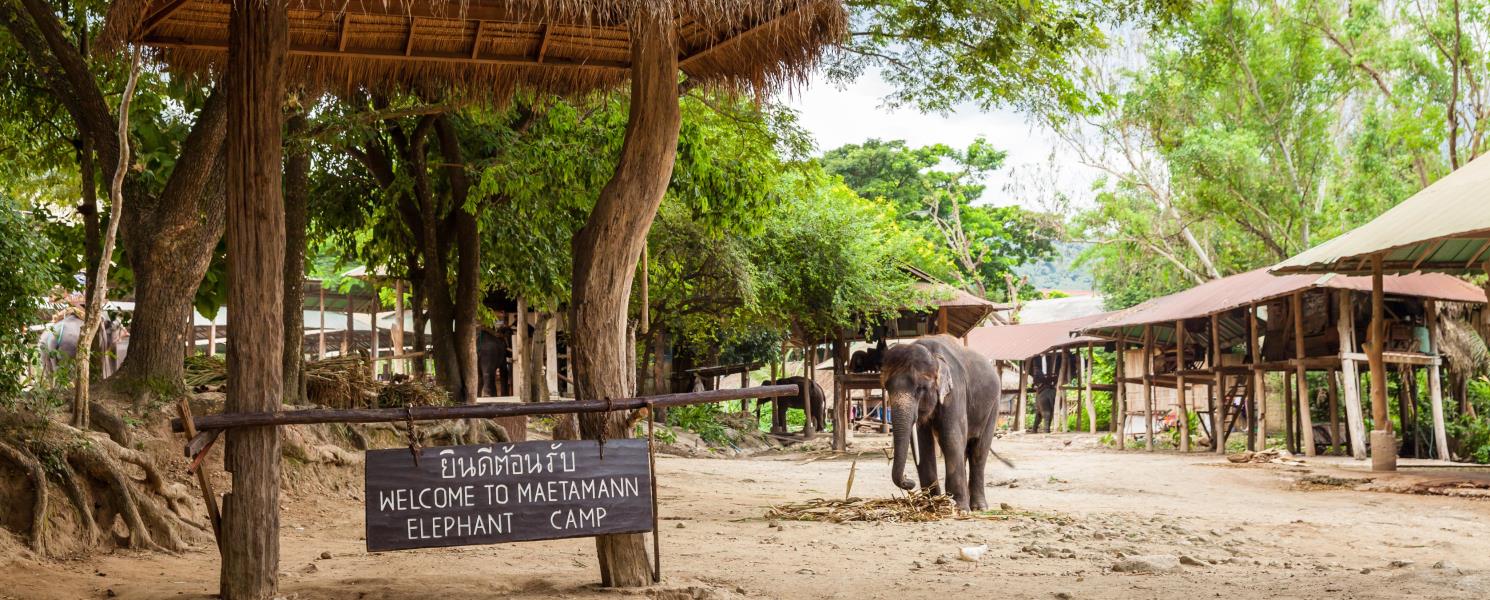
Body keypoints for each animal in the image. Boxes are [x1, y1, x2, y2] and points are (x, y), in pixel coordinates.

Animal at [882, 336, 1001, 509]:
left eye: (920, 388)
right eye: (887, 388)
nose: (909, 482)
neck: (933, 356)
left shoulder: (955, 391)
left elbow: (951, 437)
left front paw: (960, 509)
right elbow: (923, 444)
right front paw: (931, 504)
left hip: (993, 405)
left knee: (979, 450)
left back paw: (979, 507)